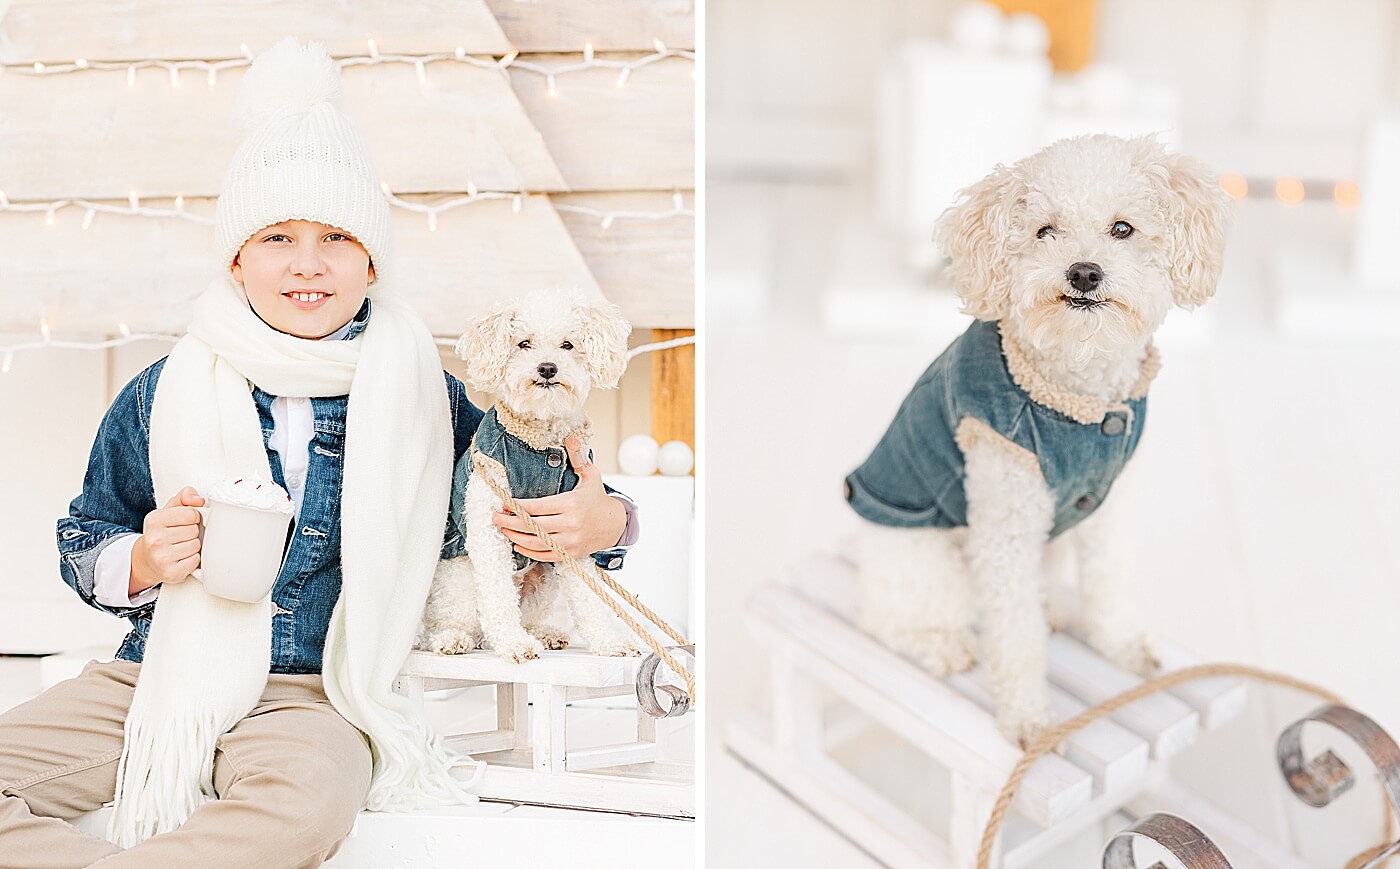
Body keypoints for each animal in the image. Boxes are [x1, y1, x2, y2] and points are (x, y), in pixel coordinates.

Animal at [414, 292, 635, 663]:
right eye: (523, 344)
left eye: (568, 344)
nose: (547, 368)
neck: (540, 440)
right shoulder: (488, 522)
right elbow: (498, 597)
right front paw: (514, 644)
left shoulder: (574, 536)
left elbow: (588, 597)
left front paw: (608, 641)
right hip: (458, 580)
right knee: (453, 625)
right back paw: (451, 638)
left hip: (545, 577)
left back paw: (543, 633)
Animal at [845, 135, 1232, 744]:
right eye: (1045, 231)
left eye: (1123, 228)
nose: (1084, 272)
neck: (1078, 393)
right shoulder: (1006, 528)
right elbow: (1015, 633)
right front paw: (1028, 717)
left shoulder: (1105, 508)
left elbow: (1107, 581)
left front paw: (1120, 643)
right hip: (928, 563)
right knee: (888, 618)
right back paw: (941, 644)